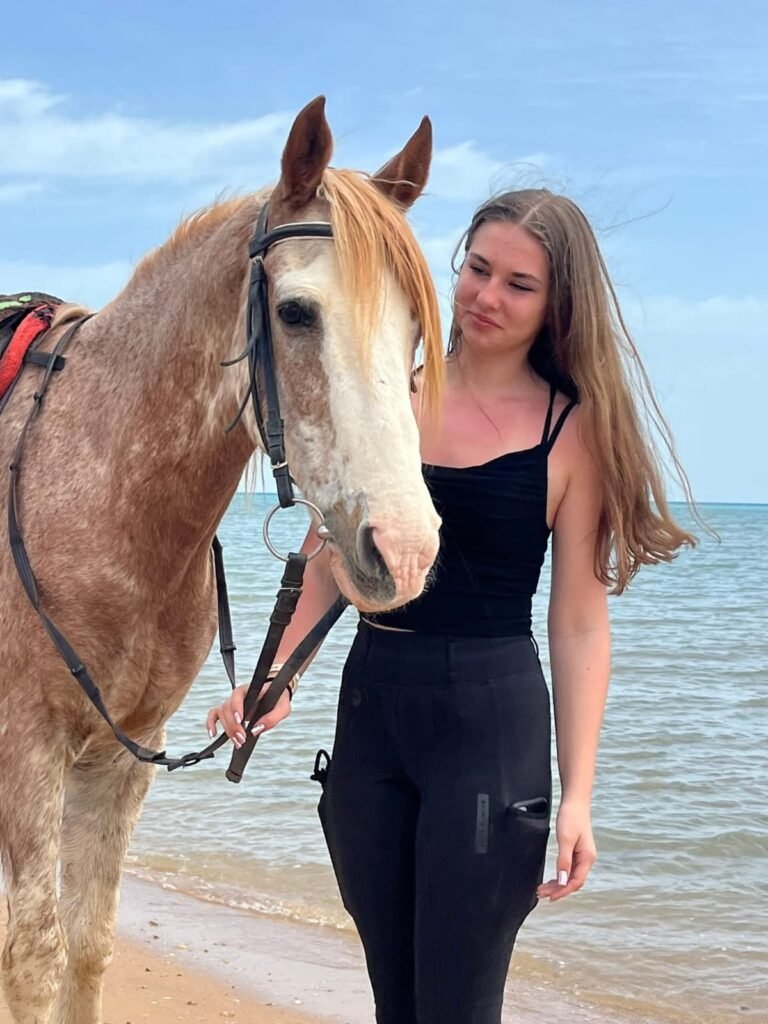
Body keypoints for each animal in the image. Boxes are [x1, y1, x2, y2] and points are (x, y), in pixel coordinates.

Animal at [0, 96, 443, 1024]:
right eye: (298, 313)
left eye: (416, 329)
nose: (406, 548)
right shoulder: (27, 751)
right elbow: (34, 956)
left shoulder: (121, 756)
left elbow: (86, 945)